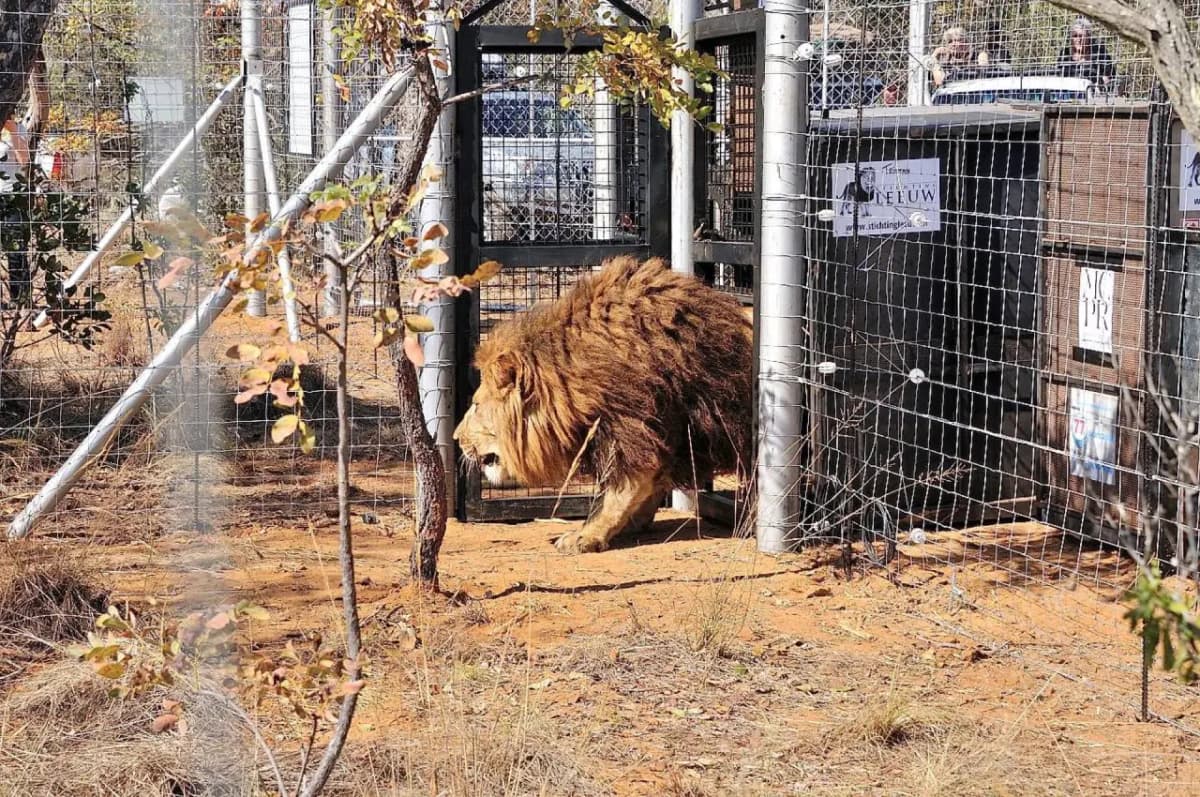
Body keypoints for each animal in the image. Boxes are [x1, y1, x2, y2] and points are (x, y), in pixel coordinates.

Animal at [453, 256, 754, 554]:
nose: (456, 438)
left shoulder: (632, 423)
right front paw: (631, 523)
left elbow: (620, 491)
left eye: (476, 405)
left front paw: (585, 536)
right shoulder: (667, 433)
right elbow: (651, 486)